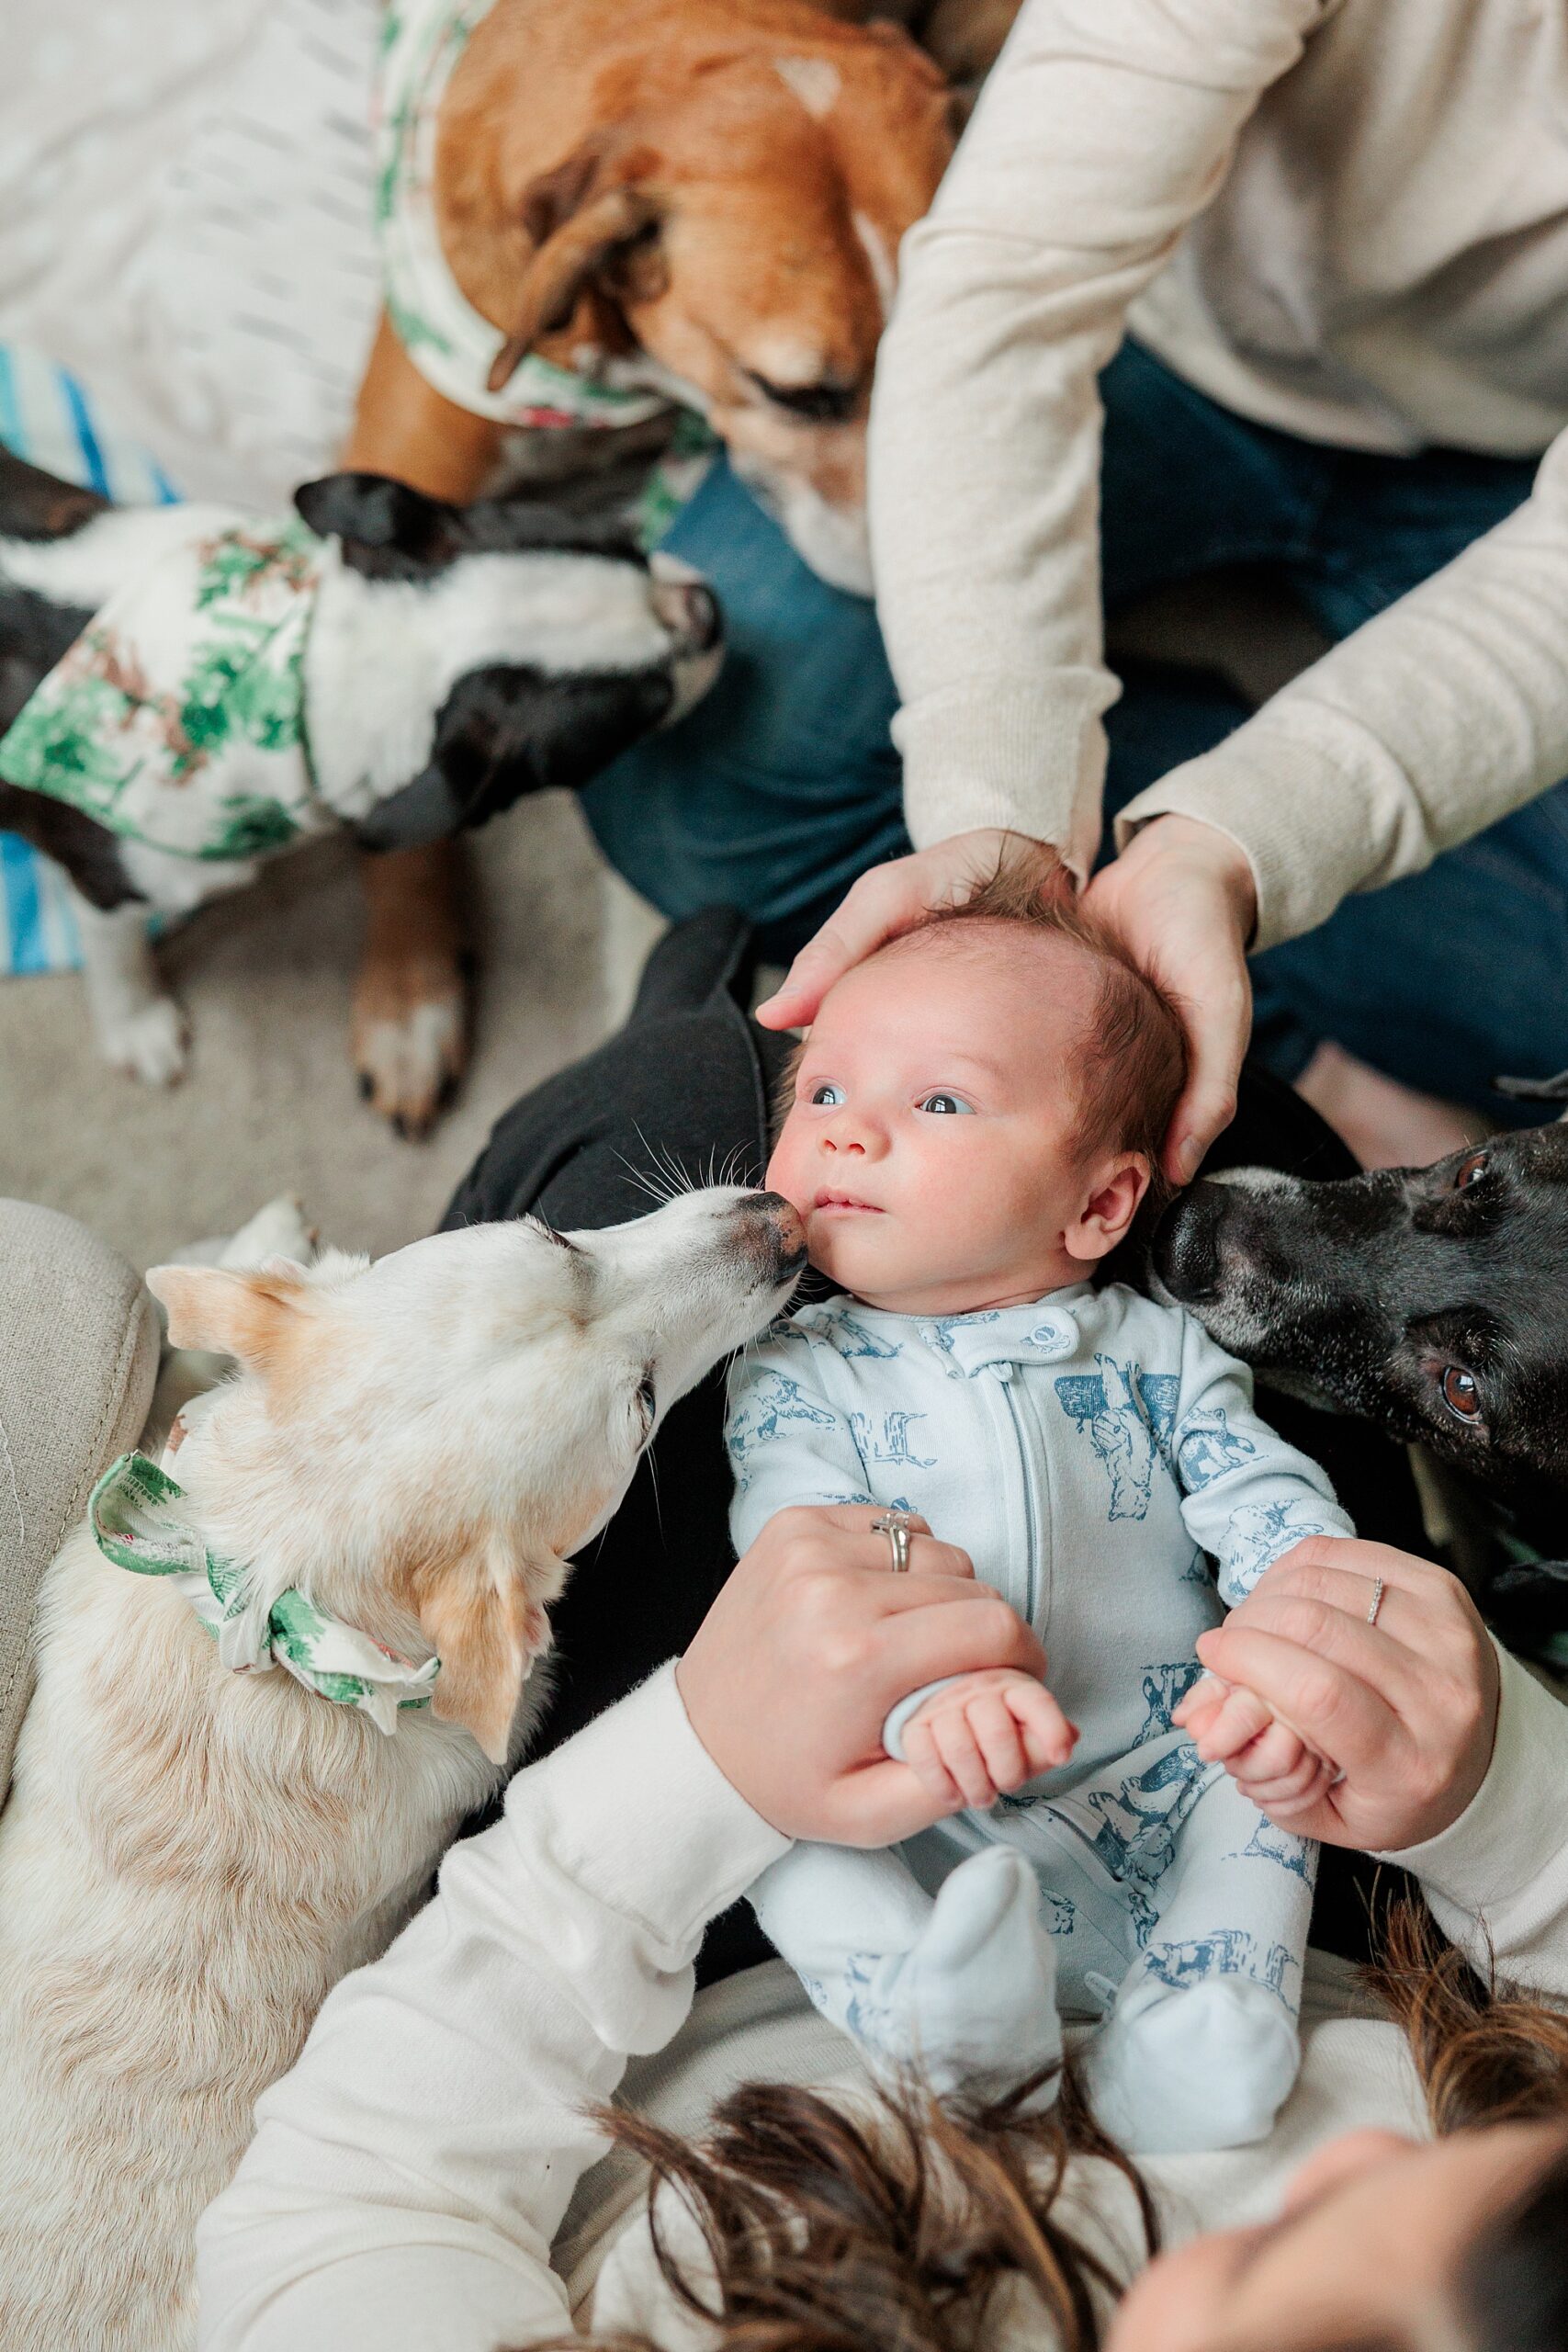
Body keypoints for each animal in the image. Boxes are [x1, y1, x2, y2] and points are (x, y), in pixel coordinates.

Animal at [0, 444, 724, 1086]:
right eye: (651, 705)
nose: (709, 611)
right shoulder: (108, 878)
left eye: (627, 546)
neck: (294, 674)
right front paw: (137, 1025)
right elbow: (113, 949)